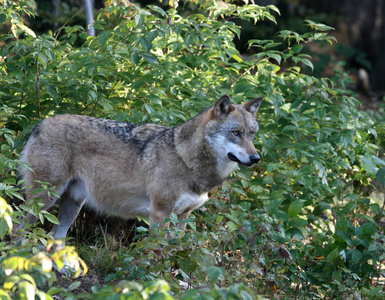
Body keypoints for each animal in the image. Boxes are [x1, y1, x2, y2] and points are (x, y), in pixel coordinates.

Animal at [15, 96, 260, 241]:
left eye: (252, 134)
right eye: (235, 133)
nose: (256, 158)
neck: (186, 159)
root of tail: (40, 124)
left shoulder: (183, 217)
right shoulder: (159, 214)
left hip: (72, 205)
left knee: (55, 238)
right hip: (44, 201)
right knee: (17, 230)